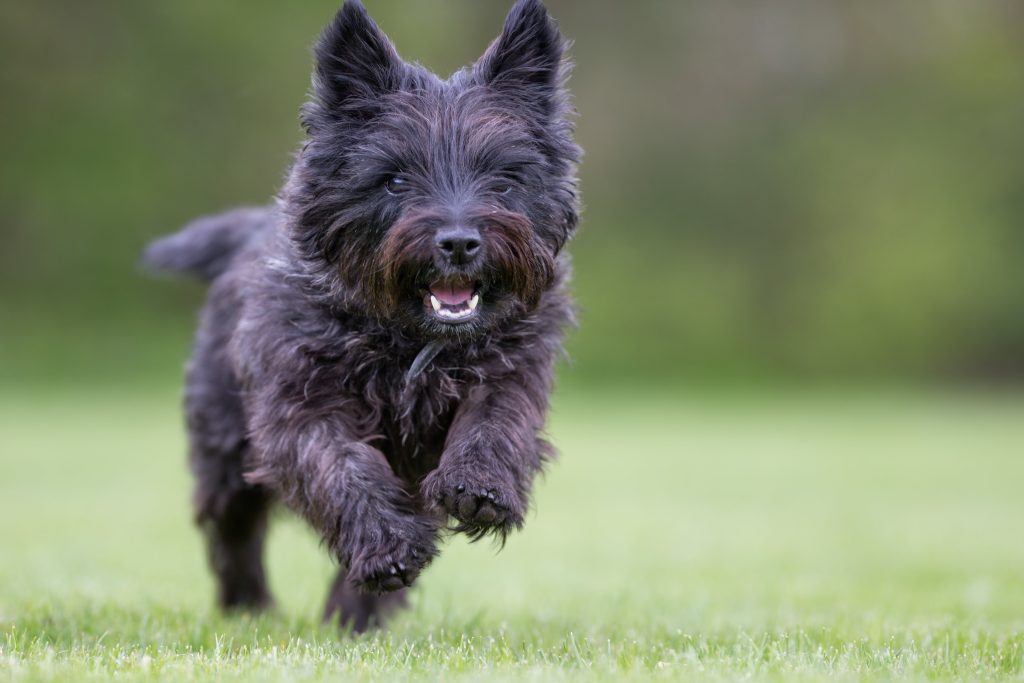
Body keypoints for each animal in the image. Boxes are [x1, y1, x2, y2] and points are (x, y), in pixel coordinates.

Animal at [144, 0, 581, 634]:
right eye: (394, 178)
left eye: (504, 177)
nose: (458, 243)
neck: (408, 342)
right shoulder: (298, 405)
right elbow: (343, 467)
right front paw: (388, 548)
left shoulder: (515, 366)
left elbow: (496, 419)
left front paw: (480, 486)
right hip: (223, 442)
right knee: (232, 526)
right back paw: (250, 606)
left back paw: (355, 614)